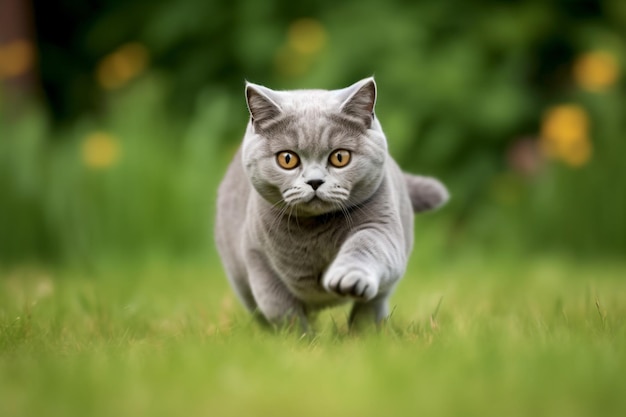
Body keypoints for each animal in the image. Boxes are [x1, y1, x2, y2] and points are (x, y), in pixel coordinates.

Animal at [214, 77, 448, 332]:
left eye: (340, 157)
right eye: (287, 159)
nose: (315, 181)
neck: (314, 232)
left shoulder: (380, 225)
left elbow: (366, 245)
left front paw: (349, 278)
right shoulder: (256, 255)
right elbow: (279, 307)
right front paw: (298, 338)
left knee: (373, 303)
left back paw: (365, 332)